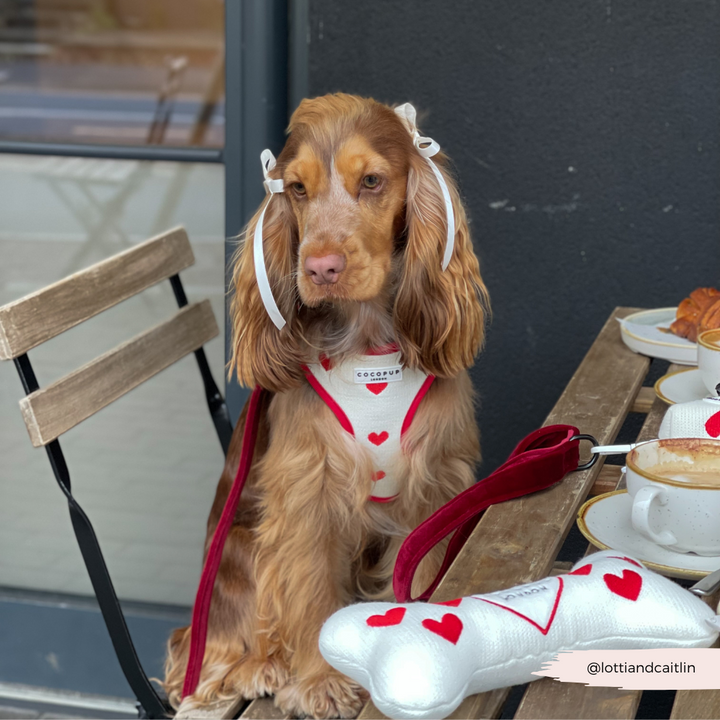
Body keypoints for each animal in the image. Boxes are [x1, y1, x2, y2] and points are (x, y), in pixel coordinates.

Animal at [163, 93, 490, 716]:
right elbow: (311, 589)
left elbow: (424, 571)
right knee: (214, 645)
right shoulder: (307, 491)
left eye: (372, 181)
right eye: (295, 188)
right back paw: (254, 667)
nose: (320, 269)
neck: (368, 344)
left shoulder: (433, 481)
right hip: (239, 555)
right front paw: (320, 683)